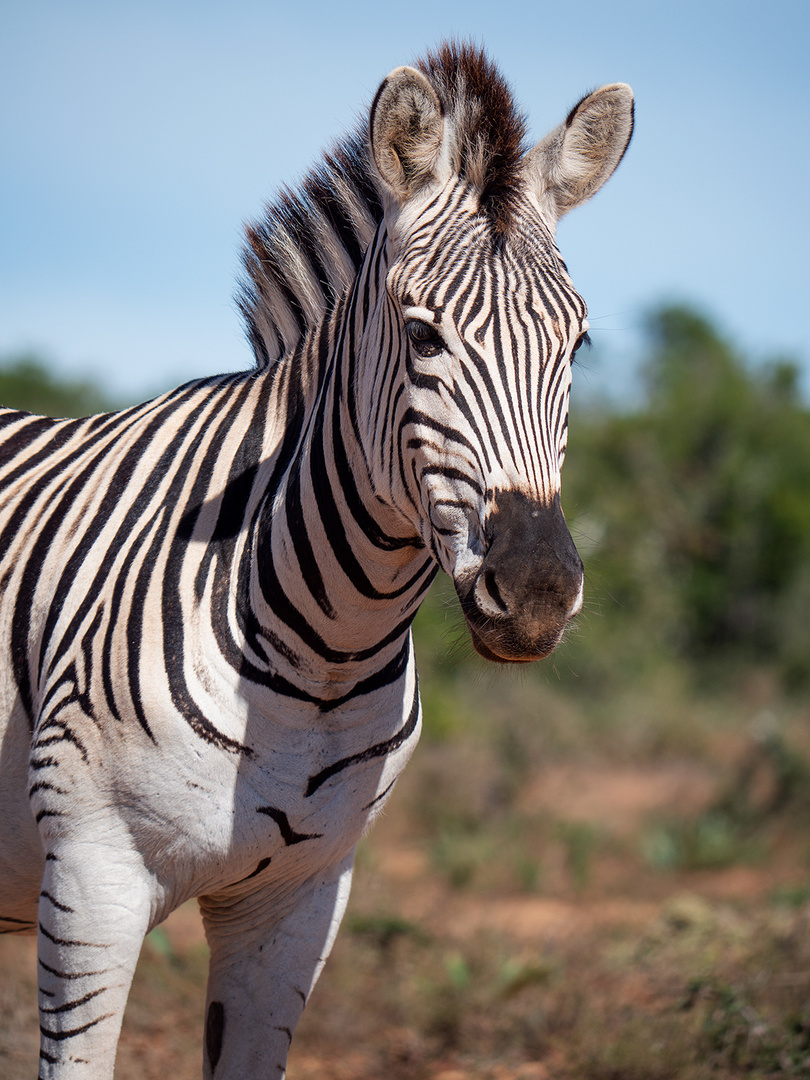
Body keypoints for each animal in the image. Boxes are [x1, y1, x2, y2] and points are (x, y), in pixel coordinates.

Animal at [0, 39, 635, 1080]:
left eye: (577, 345)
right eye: (421, 336)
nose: (539, 593)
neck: (326, 656)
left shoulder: (299, 900)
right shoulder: (89, 879)